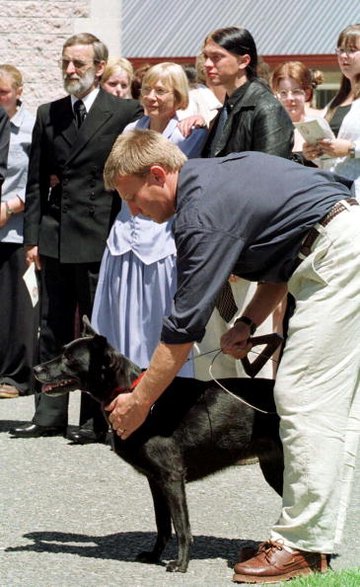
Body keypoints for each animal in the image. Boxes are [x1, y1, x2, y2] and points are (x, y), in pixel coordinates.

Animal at [34, 320, 282, 572]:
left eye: (69, 358)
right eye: (62, 352)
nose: (36, 369)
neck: (131, 393)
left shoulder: (172, 477)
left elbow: (182, 527)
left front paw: (181, 563)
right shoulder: (155, 480)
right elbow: (162, 525)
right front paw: (154, 555)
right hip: (274, 469)